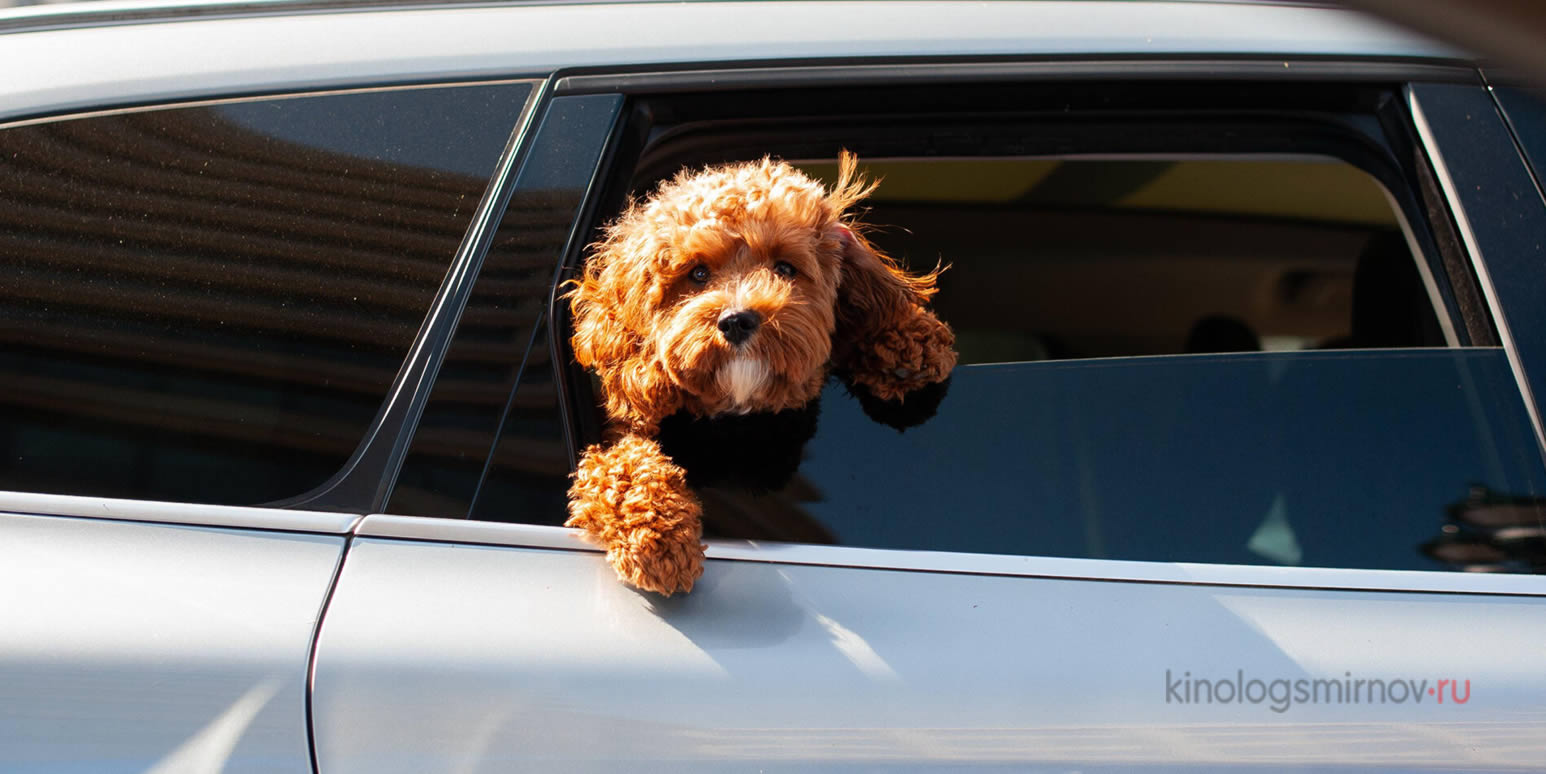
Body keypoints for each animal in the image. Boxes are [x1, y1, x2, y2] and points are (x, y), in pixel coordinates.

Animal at [568, 153, 952, 593]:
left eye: (784, 268)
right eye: (698, 273)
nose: (737, 321)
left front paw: (909, 340)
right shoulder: (618, 437)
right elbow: (620, 467)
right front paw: (659, 539)